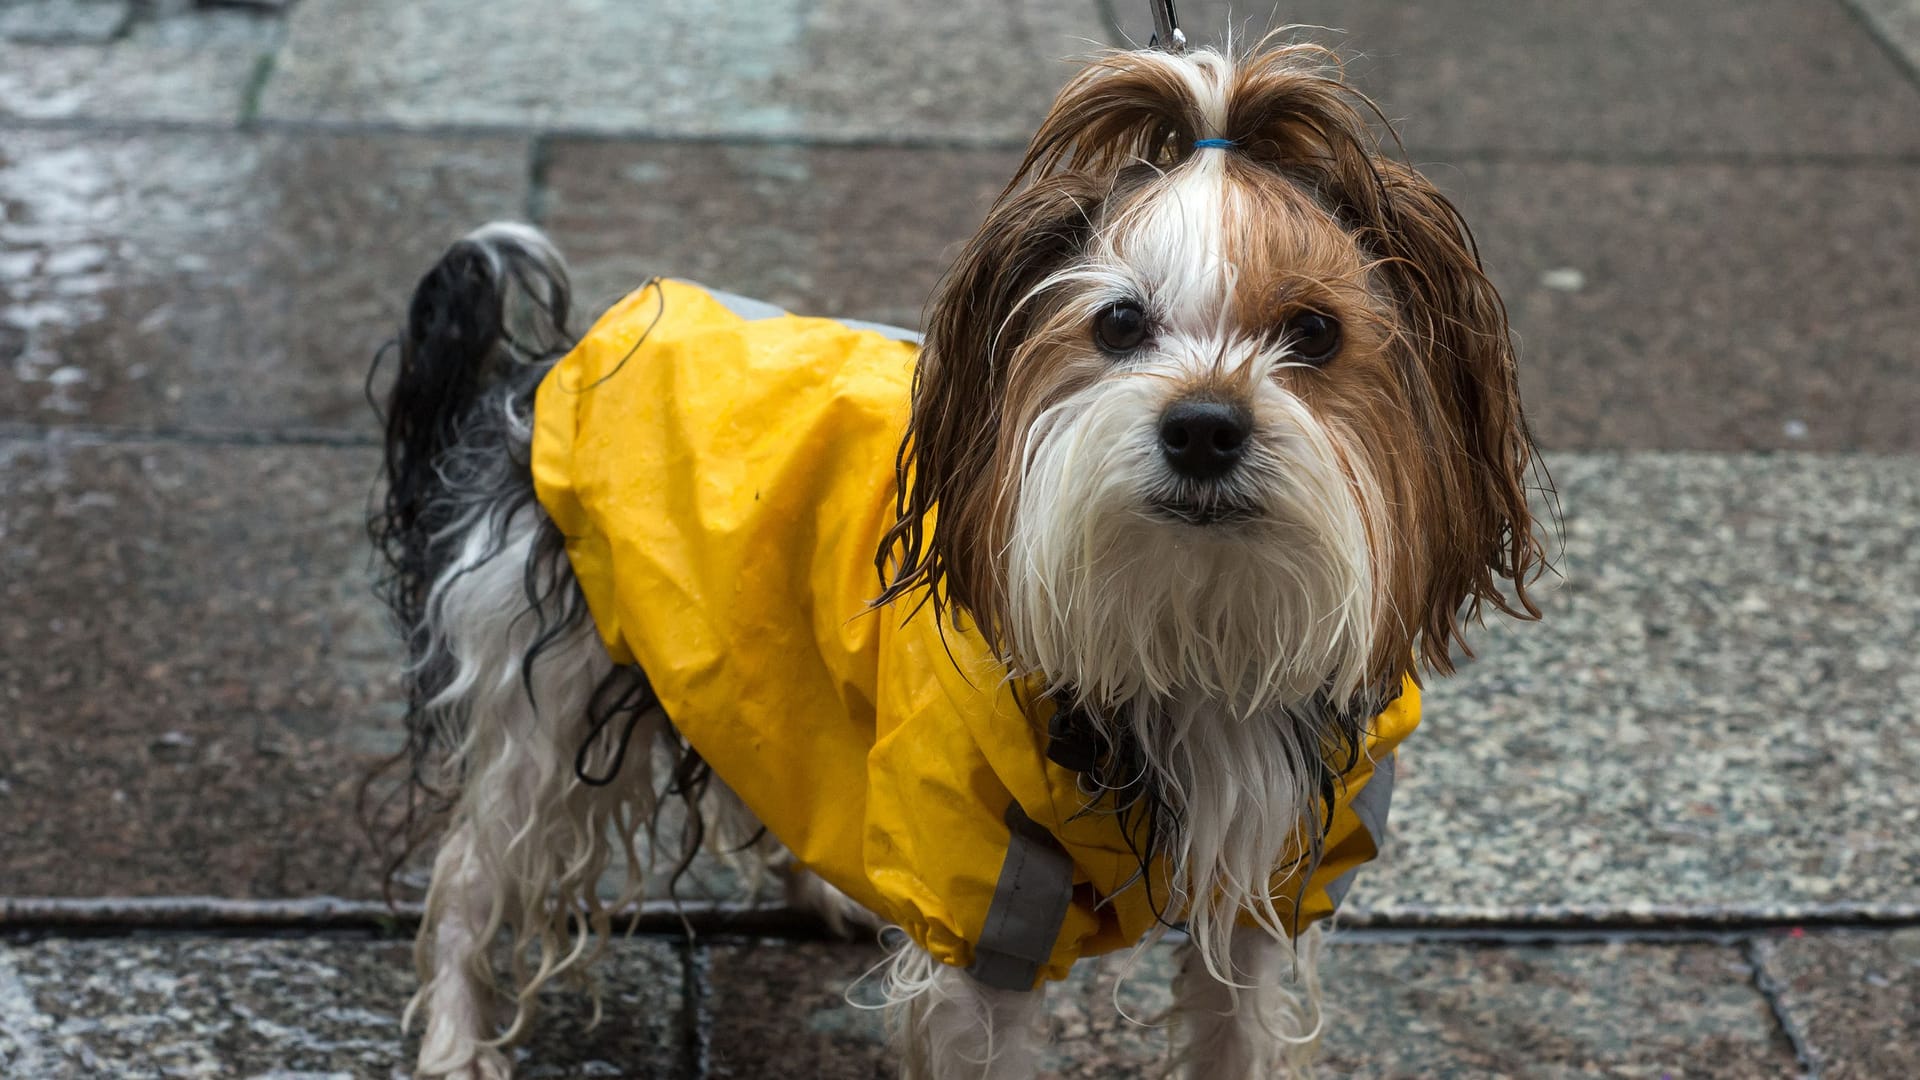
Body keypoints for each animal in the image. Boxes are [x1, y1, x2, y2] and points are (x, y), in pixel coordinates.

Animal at [370, 35, 1543, 1076]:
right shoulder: (983, 900)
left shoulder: (1273, 886)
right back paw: (456, 1048)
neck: (1192, 631)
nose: (1205, 428)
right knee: (469, 880)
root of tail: (540, 373)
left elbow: (1236, 1037)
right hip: (551, 694)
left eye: (1315, 332)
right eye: (1120, 324)